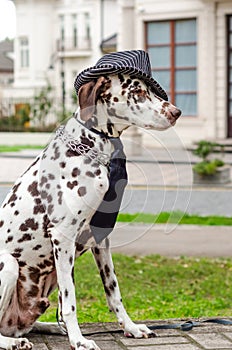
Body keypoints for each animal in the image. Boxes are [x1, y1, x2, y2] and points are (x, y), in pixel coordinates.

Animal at [0, 72, 180, 348]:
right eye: (137, 92)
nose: (176, 112)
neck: (93, 150)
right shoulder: (63, 238)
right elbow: (69, 300)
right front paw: (78, 340)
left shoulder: (101, 237)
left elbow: (113, 291)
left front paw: (130, 327)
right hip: (8, 263)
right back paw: (13, 342)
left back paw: (51, 328)